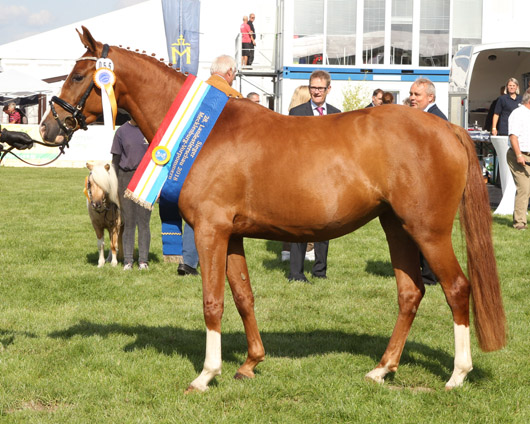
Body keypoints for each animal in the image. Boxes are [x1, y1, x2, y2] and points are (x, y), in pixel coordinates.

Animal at [40, 26, 504, 390]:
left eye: (79, 75)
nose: (48, 128)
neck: (203, 132)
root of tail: (448, 128)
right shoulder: (231, 235)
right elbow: (243, 296)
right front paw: (250, 363)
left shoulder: (210, 230)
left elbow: (213, 301)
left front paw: (206, 375)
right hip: (396, 227)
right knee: (410, 293)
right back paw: (382, 369)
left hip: (428, 230)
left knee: (457, 288)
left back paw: (457, 375)